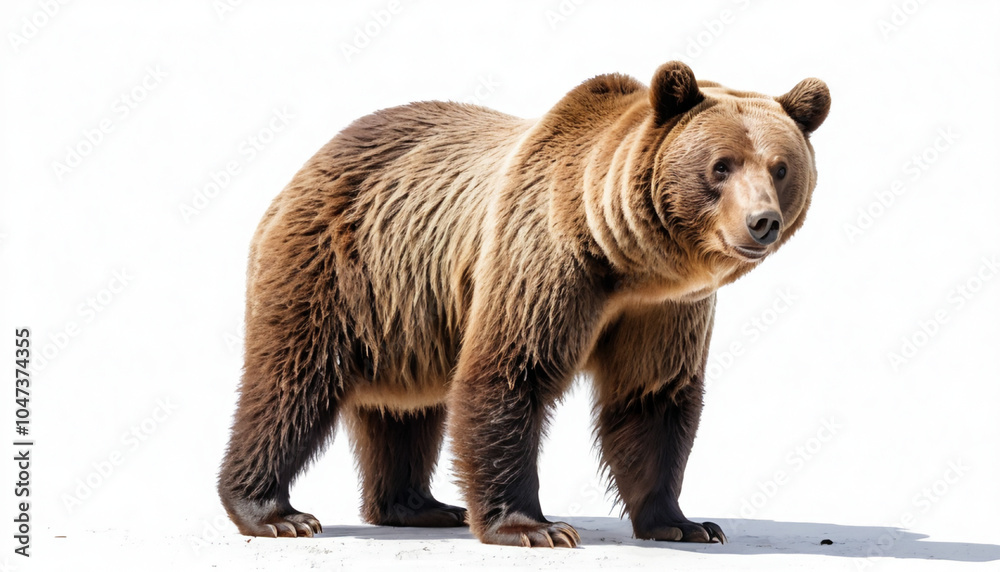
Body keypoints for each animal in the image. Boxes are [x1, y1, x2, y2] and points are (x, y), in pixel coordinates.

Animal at [217, 61, 830, 547]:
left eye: (780, 167)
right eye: (722, 165)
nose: (762, 221)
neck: (627, 263)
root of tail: (312, 160)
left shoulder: (665, 309)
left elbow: (652, 398)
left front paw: (684, 522)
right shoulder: (543, 259)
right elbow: (511, 371)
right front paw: (534, 527)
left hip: (404, 309)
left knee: (404, 411)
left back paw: (419, 506)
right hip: (336, 268)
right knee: (291, 382)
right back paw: (274, 513)